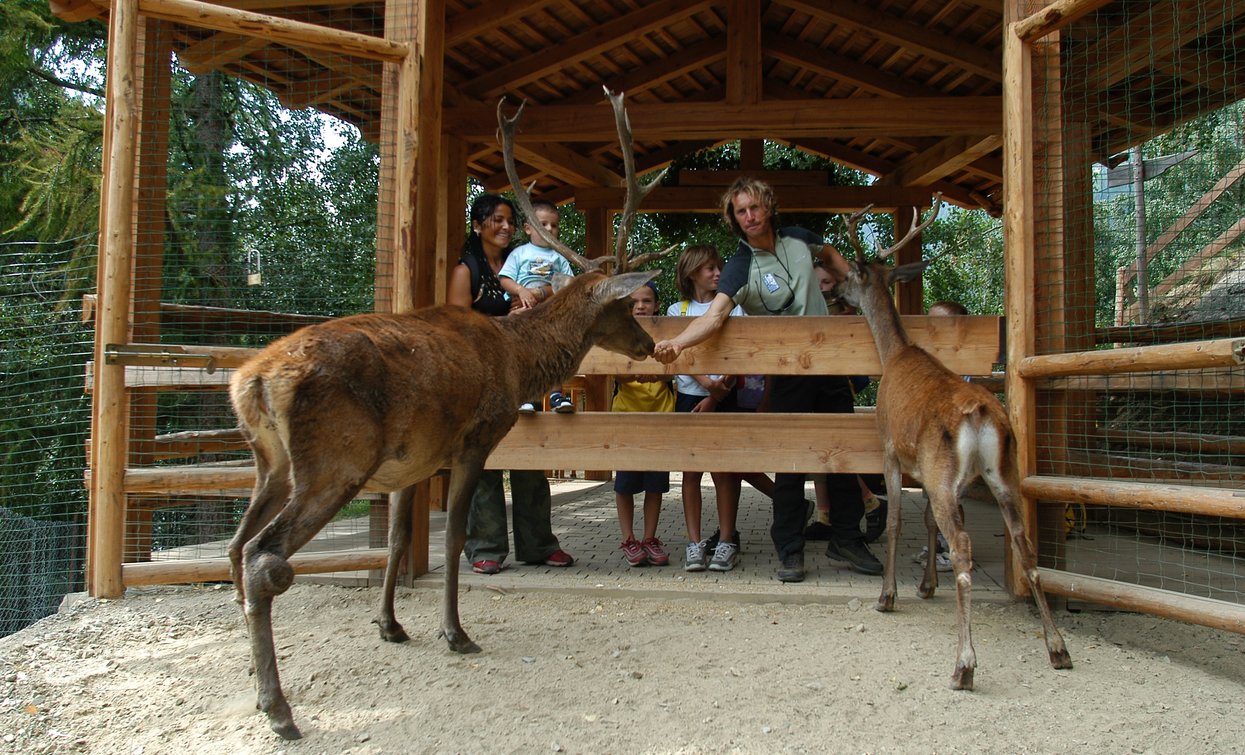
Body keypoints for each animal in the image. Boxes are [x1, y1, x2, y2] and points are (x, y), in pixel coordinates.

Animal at [230, 88, 667, 737]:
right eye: (621, 305)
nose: (647, 342)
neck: (517, 359)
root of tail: (252, 380)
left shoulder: (411, 461)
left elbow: (396, 539)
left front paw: (389, 625)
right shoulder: (475, 438)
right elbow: (458, 533)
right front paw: (455, 633)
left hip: (269, 464)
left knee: (237, 546)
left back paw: (246, 670)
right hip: (335, 461)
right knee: (264, 557)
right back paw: (278, 708)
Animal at [831, 199, 1075, 692]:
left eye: (851, 274)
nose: (837, 295)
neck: (894, 354)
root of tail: (981, 415)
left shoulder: (891, 448)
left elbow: (899, 521)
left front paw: (889, 595)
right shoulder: (931, 472)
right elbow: (926, 520)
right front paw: (926, 586)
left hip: (950, 469)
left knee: (962, 543)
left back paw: (964, 664)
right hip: (1001, 471)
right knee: (1023, 543)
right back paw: (1058, 648)